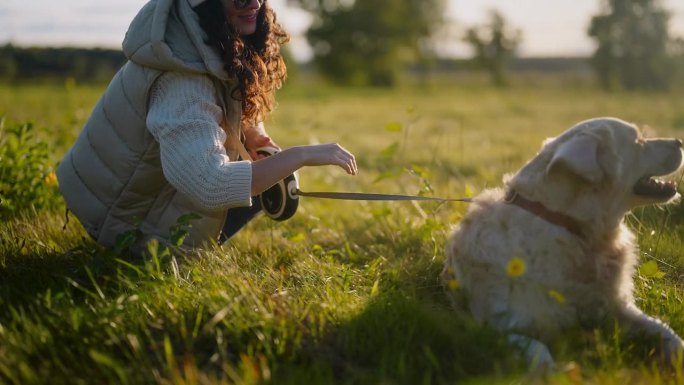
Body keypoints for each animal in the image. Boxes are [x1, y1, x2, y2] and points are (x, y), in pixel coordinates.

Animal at [444, 115, 684, 368]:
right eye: (639, 140)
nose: (679, 141)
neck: (571, 227)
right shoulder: (501, 328)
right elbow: (540, 353)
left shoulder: (619, 309)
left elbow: (665, 332)